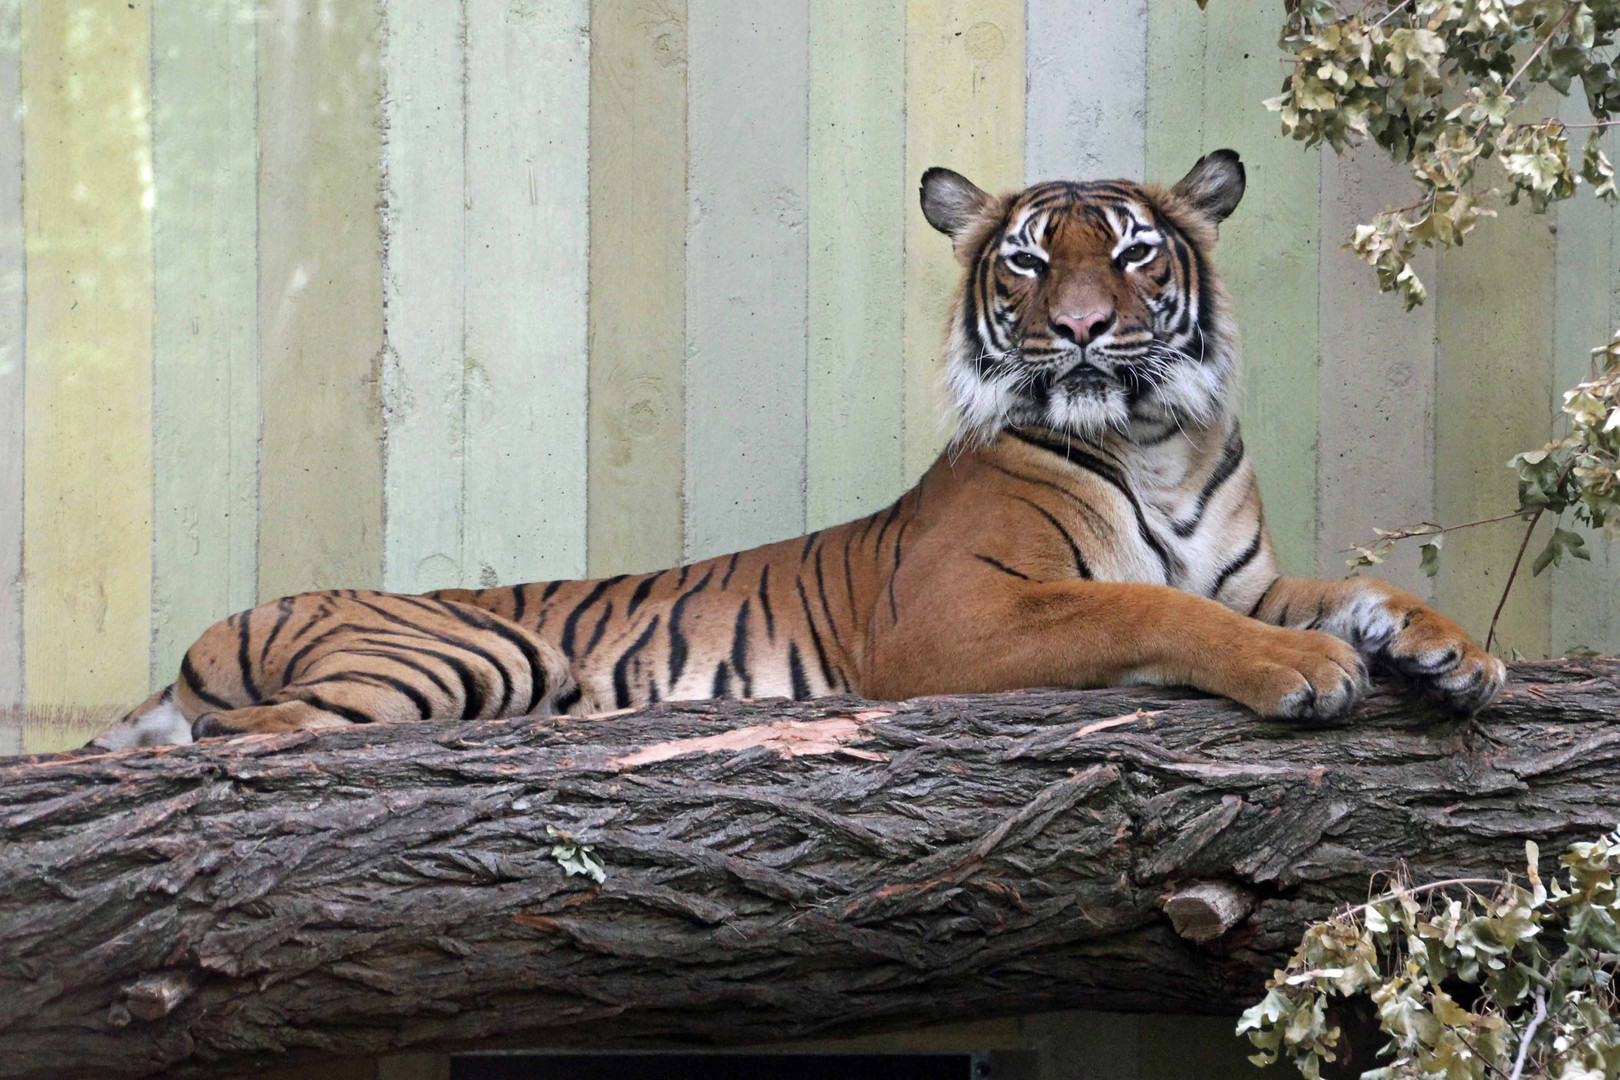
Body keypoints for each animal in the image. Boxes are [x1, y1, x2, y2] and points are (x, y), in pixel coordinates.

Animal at [91, 148, 1503, 748]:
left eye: (1134, 251)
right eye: (1029, 262)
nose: (1084, 330)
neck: (1152, 435)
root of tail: (216, 627)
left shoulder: (1247, 574)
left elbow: (1352, 585)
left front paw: (1452, 651)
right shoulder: (953, 618)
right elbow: (1157, 615)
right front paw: (1308, 672)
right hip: (466, 655)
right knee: (246, 737)